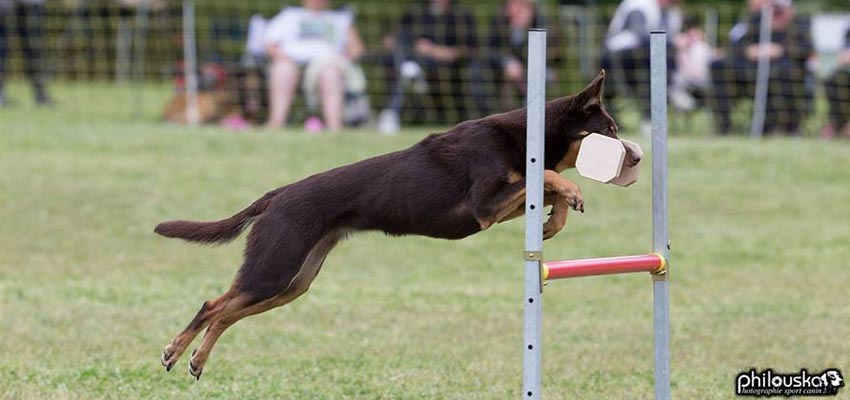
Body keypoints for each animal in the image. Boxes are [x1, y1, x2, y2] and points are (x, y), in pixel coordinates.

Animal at [156, 69, 640, 378]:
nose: (637, 157)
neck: (525, 134)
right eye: (610, 130)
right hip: (274, 268)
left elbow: (547, 187)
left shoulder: (498, 206)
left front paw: (554, 220)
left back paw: (195, 359)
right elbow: (552, 178)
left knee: (227, 310)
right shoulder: (485, 205)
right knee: (214, 305)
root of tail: (275, 196)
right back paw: (180, 353)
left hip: (294, 282)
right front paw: (572, 195)